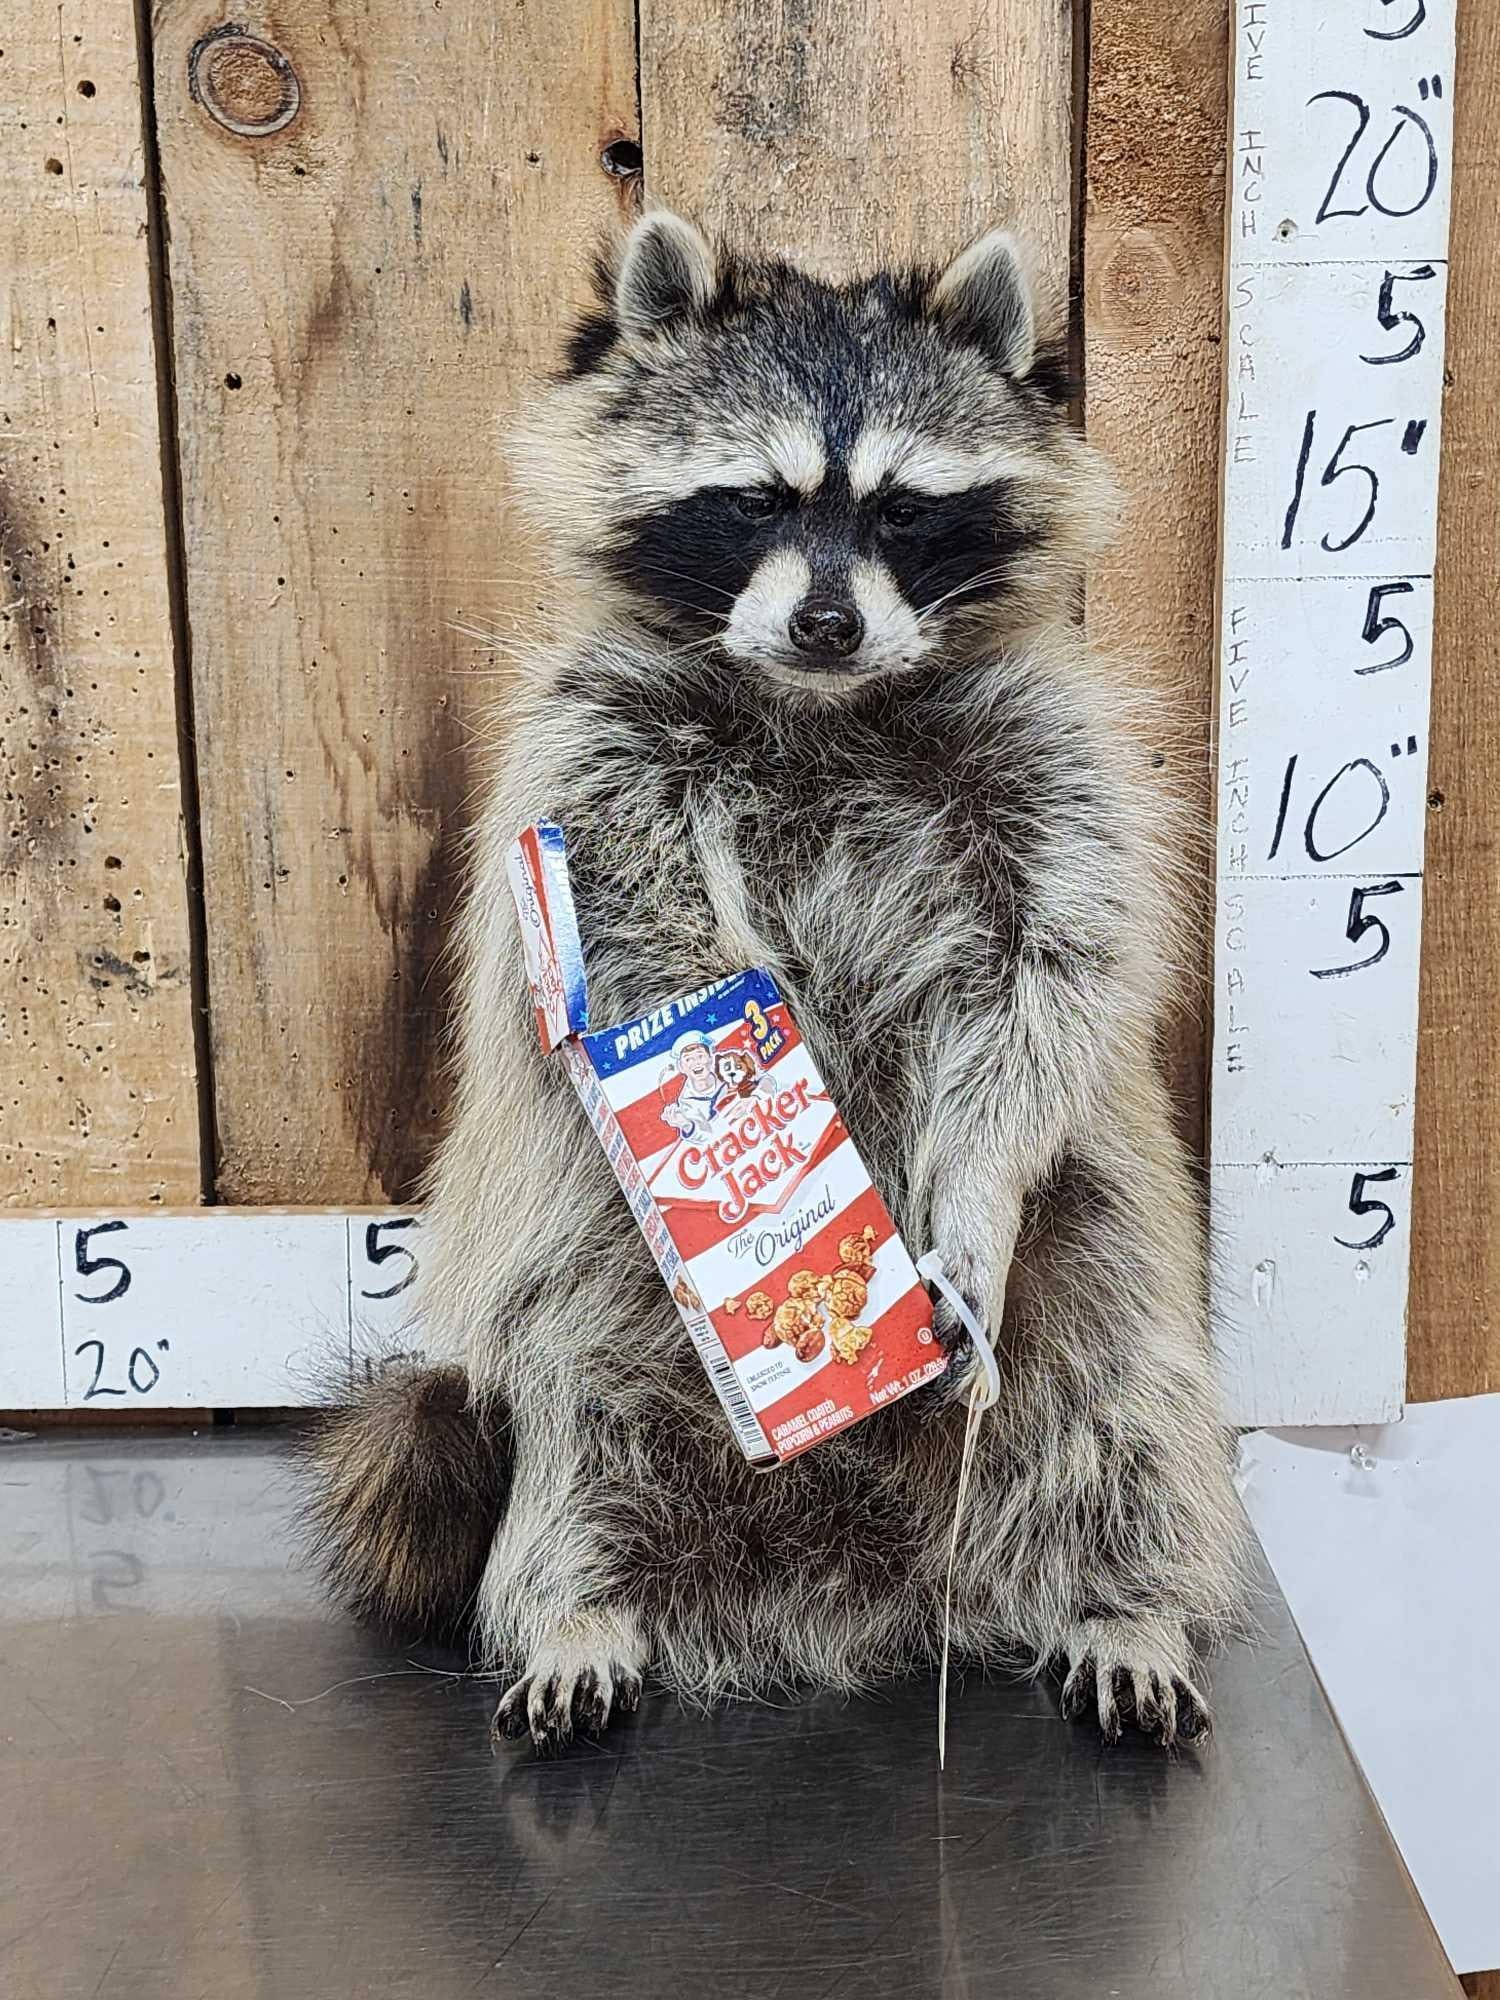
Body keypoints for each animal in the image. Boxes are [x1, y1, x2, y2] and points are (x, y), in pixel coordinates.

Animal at [306, 210, 1247, 1751]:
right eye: (752, 500)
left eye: (903, 512)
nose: (827, 626)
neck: (825, 708)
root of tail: (854, 1597)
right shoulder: (594, 757)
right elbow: (642, 955)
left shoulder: (1046, 761)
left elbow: (1043, 984)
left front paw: (967, 1204)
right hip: (587, 1321)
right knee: (576, 1439)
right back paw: (582, 1609)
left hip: (1102, 1282)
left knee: (1127, 1430)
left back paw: (1126, 1605)